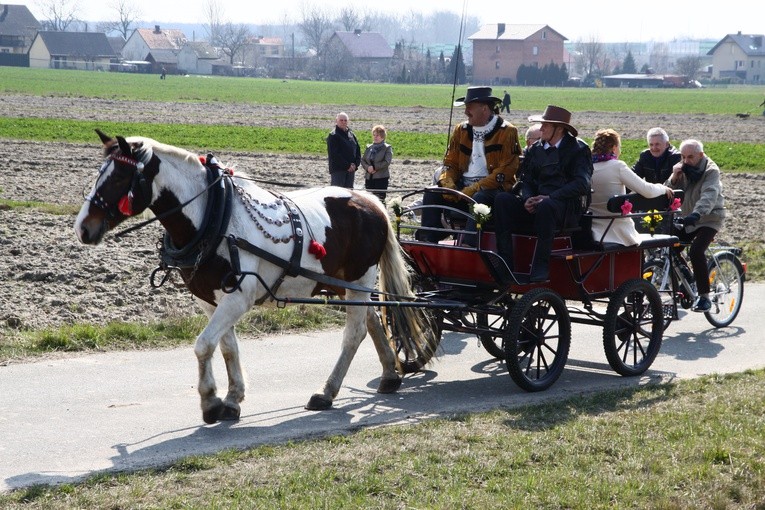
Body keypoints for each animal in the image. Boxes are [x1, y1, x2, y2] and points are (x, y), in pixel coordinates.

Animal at [75, 129, 438, 424]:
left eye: (119, 178)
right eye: (99, 175)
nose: (82, 228)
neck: (215, 215)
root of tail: (371, 201)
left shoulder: (238, 297)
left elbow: (203, 345)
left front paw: (210, 402)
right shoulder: (211, 300)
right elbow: (226, 347)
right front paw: (232, 399)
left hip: (360, 280)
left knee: (355, 333)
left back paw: (327, 392)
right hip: (343, 284)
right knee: (374, 320)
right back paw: (389, 374)